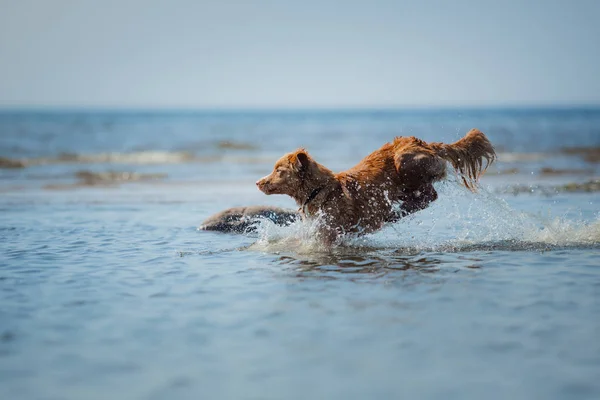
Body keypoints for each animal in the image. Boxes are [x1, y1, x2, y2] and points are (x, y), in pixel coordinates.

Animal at [255, 130, 494, 245]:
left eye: (278, 170)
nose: (258, 182)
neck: (320, 190)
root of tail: (427, 144)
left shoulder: (328, 233)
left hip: (404, 161)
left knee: (429, 195)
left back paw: (395, 213)